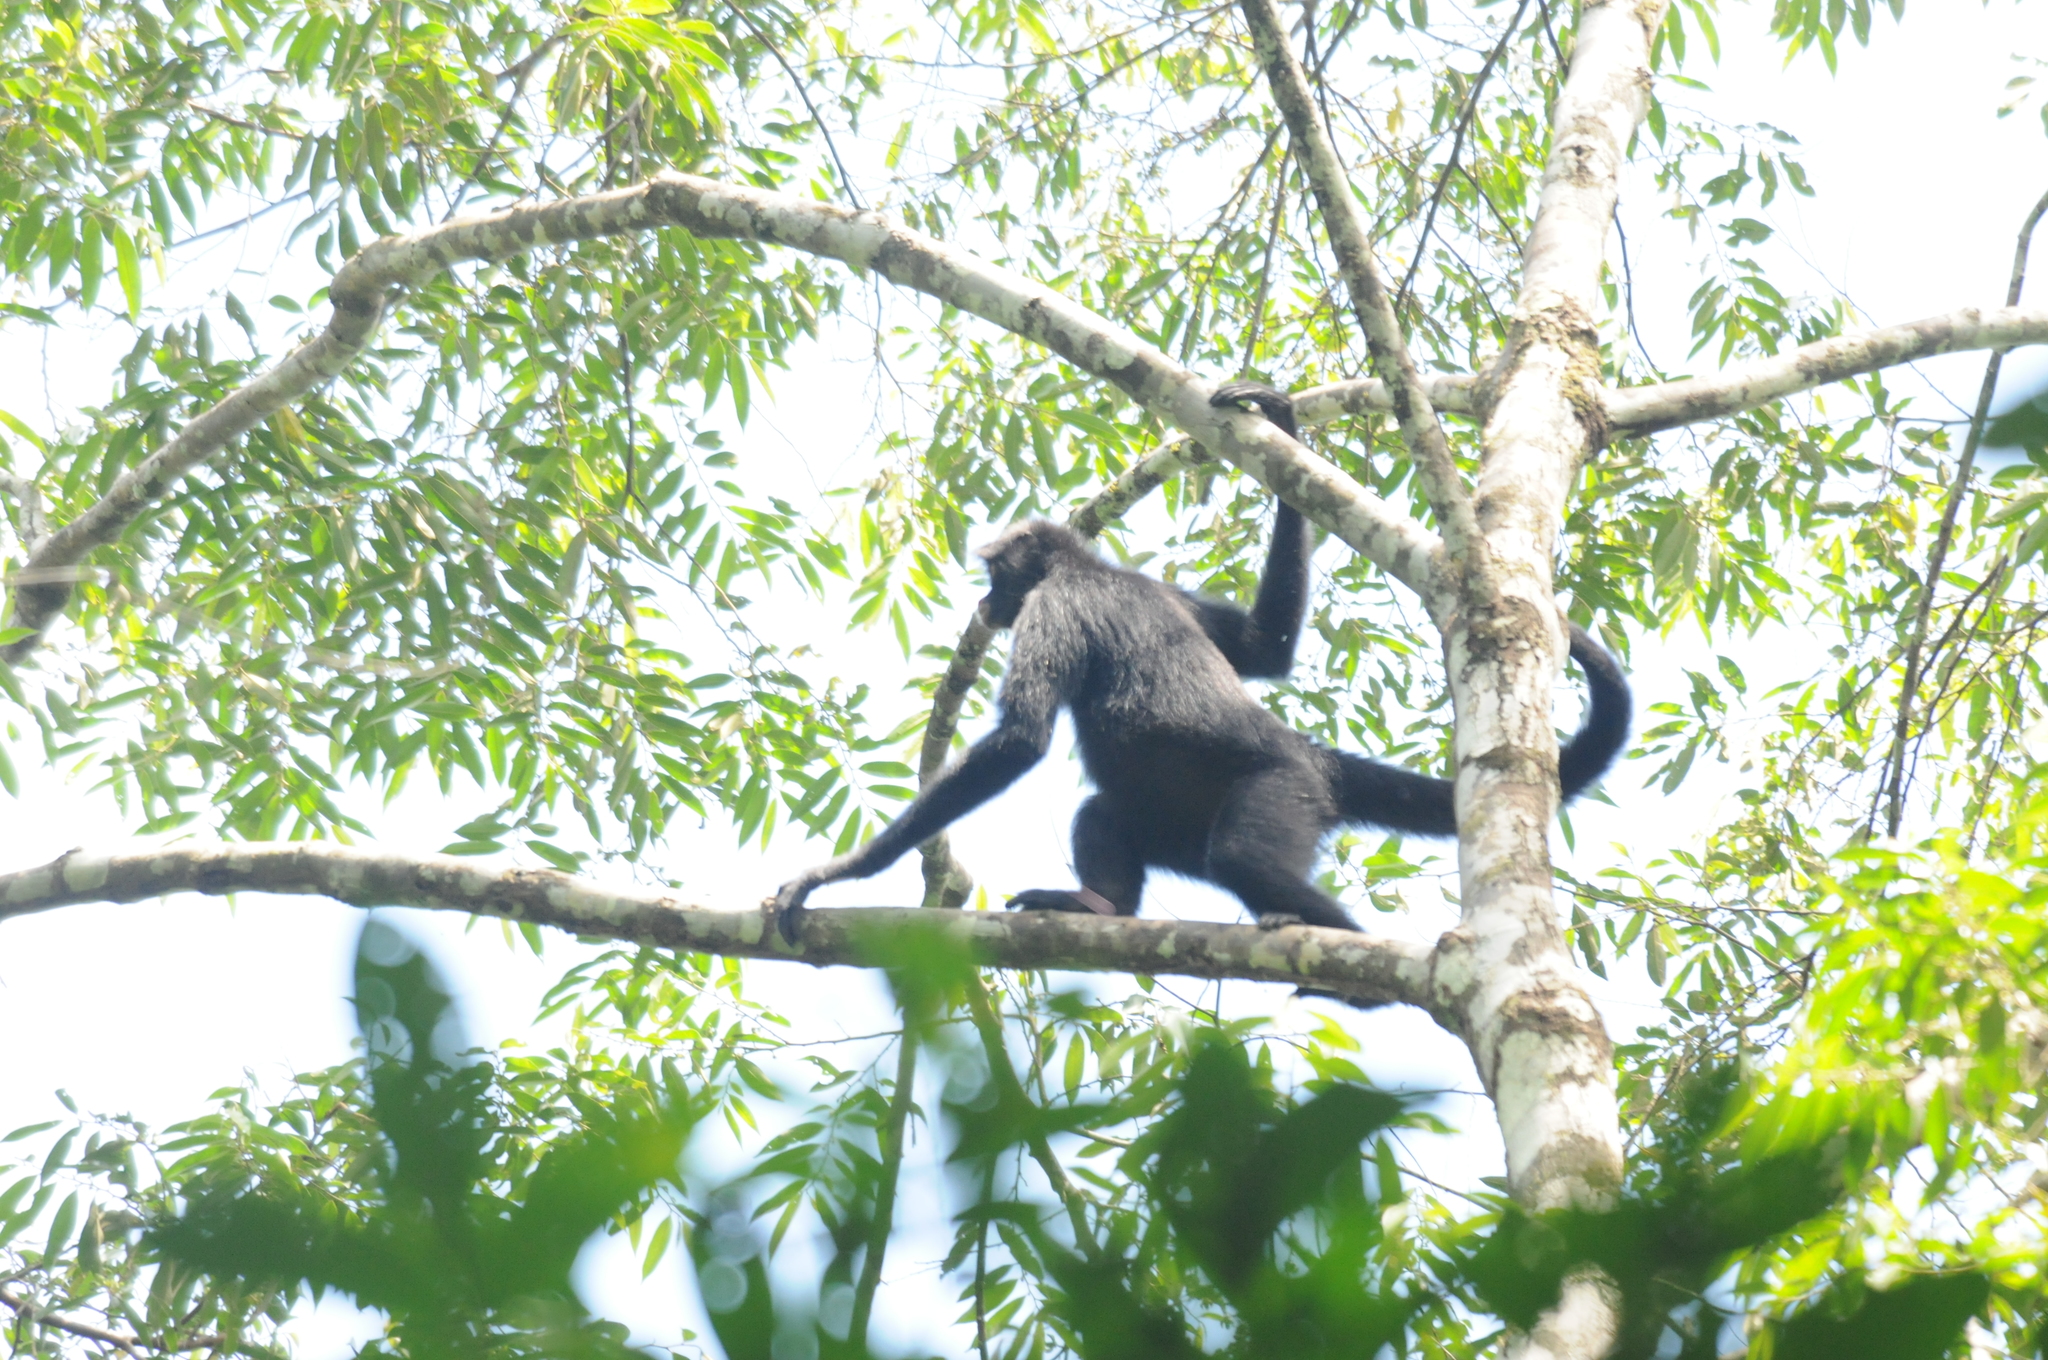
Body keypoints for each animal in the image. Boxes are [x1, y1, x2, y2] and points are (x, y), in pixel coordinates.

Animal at [771, 381, 1631, 943]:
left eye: (999, 577)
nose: (986, 602)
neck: (1094, 569)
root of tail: (1310, 754)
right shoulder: (1163, 590)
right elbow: (1262, 647)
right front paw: (1281, 422)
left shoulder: (1055, 606)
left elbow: (1020, 740)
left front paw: (836, 874)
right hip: (1177, 822)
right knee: (1105, 811)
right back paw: (1102, 909)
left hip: (1283, 788)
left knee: (1243, 853)